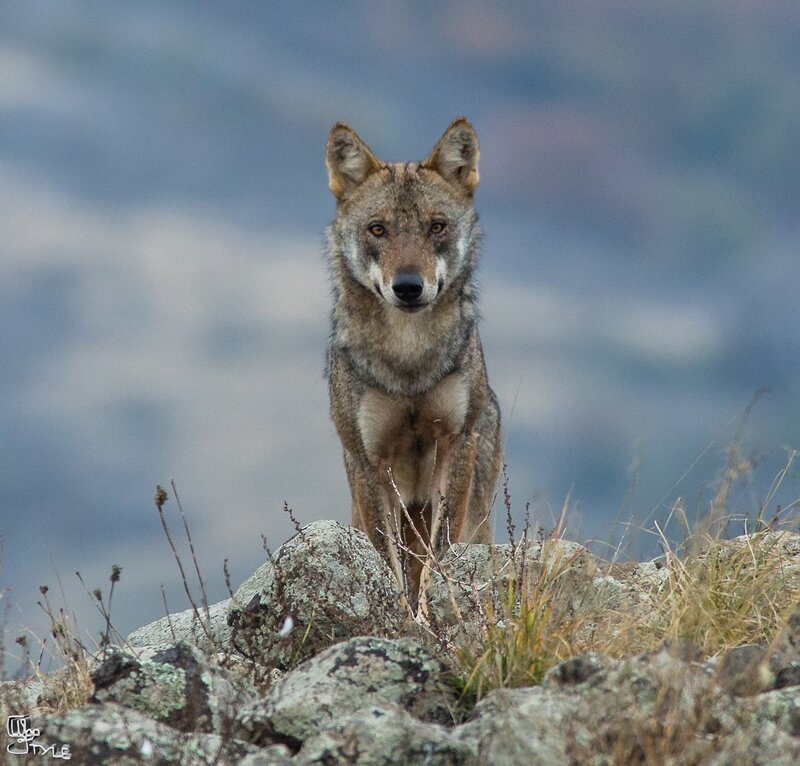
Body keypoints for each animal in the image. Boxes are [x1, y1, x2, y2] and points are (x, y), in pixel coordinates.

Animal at [324, 118, 502, 609]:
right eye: (378, 230)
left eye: (436, 226)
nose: (407, 286)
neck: (408, 361)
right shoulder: (369, 461)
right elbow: (387, 558)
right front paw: (402, 614)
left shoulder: (455, 443)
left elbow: (439, 552)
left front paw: (429, 611)